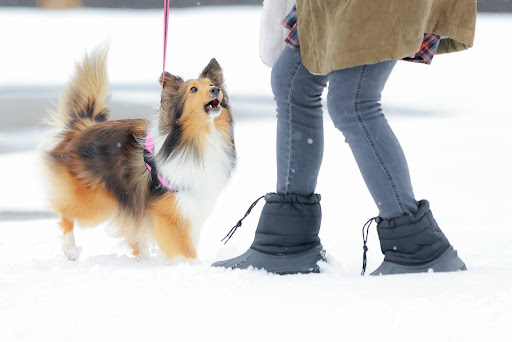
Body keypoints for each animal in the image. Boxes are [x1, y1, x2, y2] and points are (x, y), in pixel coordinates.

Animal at [44, 47, 236, 262]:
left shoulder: (191, 204)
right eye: (193, 90)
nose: (216, 90)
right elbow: (185, 249)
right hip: (96, 202)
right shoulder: (170, 209)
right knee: (66, 214)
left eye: (211, 85)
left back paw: (143, 260)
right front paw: (191, 266)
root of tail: (81, 128)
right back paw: (70, 249)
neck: (197, 138)